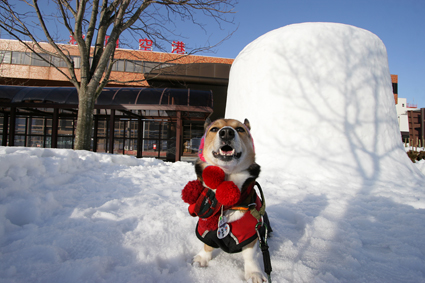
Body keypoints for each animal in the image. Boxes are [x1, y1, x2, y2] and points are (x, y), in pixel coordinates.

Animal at [181, 118, 268, 282]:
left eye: (240, 129)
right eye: (214, 129)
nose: (227, 132)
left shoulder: (251, 231)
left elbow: (250, 255)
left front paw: (254, 272)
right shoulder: (205, 227)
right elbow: (207, 244)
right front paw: (202, 258)